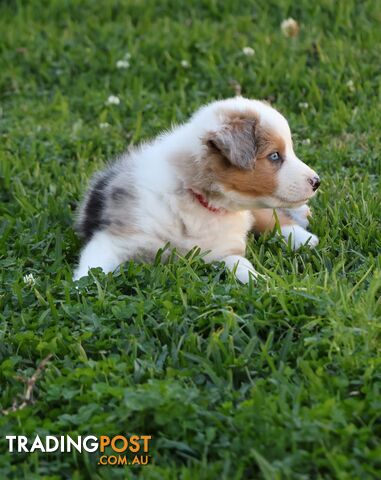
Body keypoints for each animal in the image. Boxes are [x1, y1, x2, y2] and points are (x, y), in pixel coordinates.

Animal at [72, 95, 320, 282]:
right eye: (275, 156)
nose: (317, 182)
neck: (194, 195)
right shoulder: (115, 239)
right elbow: (91, 271)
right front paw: (79, 292)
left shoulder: (224, 249)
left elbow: (242, 265)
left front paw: (261, 282)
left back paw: (303, 237)